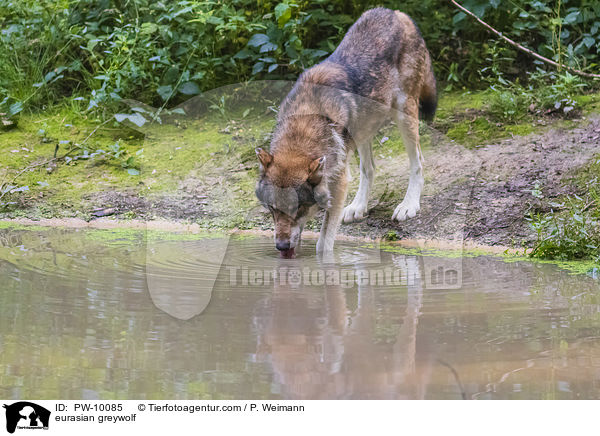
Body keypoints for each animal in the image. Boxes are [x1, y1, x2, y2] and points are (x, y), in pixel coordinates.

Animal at [254, 7, 436, 258]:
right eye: (272, 208)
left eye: (298, 208)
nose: (280, 246)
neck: (304, 125)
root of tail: (397, 13)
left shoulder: (338, 183)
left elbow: (323, 244)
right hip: (362, 129)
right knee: (369, 168)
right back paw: (358, 207)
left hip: (404, 114)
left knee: (418, 161)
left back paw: (409, 205)